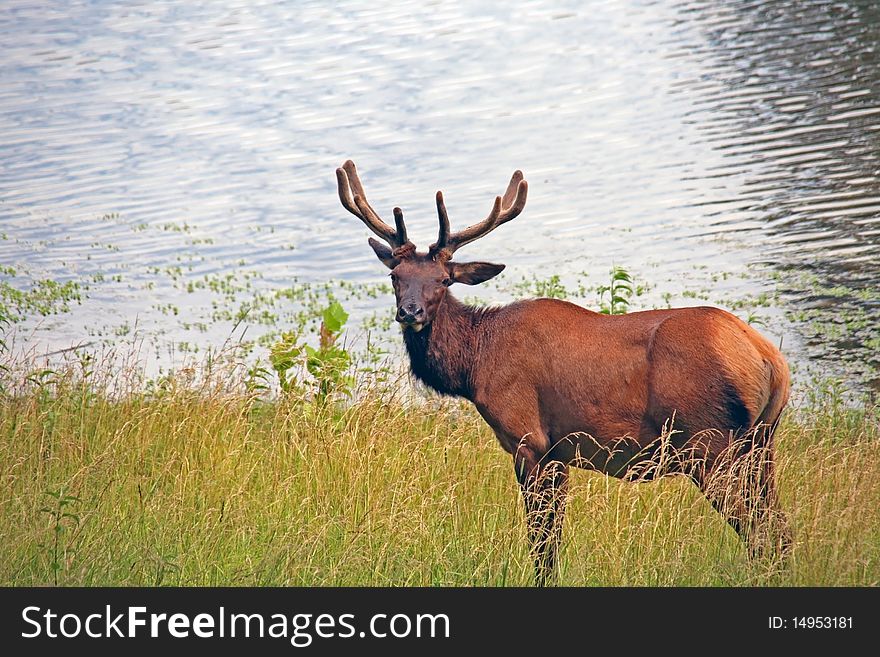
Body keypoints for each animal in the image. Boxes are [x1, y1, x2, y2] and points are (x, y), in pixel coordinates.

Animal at [336, 160, 792, 584]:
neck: (475, 365)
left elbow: (543, 544)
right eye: (395, 276)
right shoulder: (558, 452)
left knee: (759, 531)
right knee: (778, 529)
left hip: (710, 444)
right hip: (759, 443)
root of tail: (770, 361)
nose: (409, 312)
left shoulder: (529, 440)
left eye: (444, 280)